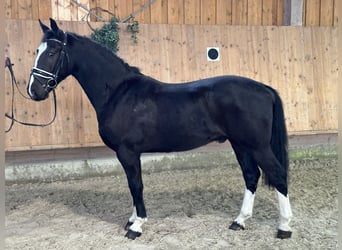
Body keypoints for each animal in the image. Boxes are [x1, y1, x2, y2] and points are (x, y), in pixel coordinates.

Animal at [27, 18, 294, 239]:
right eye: (37, 51)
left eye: (53, 51)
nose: (34, 90)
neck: (118, 92)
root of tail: (264, 88)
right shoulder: (129, 153)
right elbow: (133, 184)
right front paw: (132, 219)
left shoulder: (127, 151)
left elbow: (136, 185)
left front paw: (136, 226)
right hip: (240, 144)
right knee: (251, 175)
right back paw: (240, 221)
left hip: (257, 146)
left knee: (278, 174)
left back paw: (284, 227)